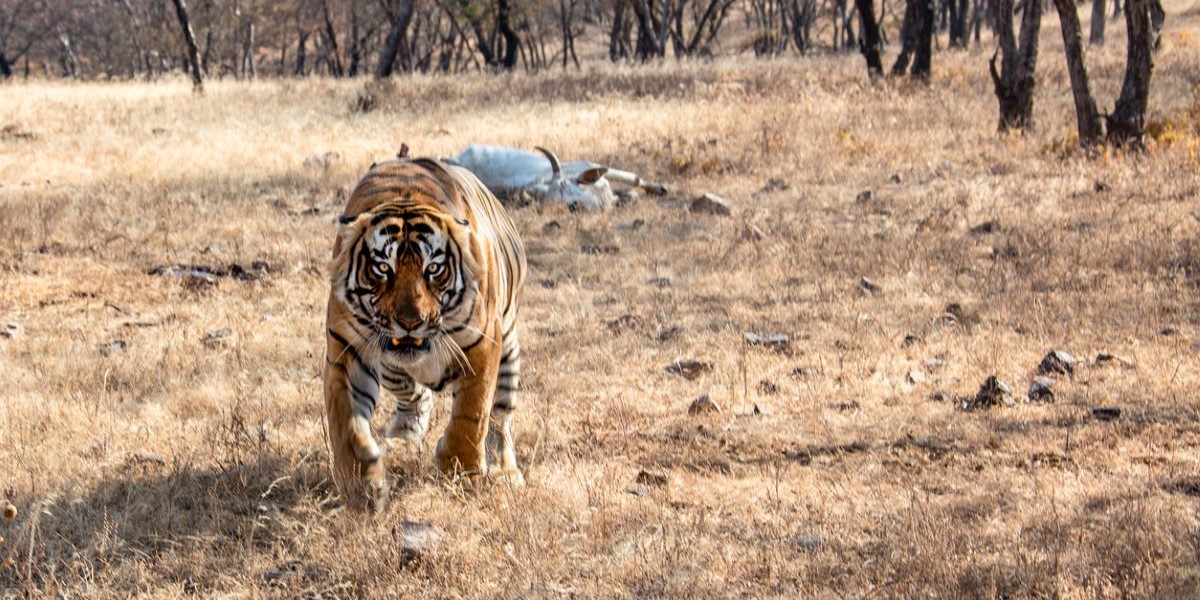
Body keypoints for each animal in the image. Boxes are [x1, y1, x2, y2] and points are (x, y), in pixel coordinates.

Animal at [324, 155, 526, 508]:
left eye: (433, 269)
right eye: (383, 268)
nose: (410, 322)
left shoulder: (483, 344)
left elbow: (472, 415)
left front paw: (462, 471)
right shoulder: (347, 350)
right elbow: (345, 421)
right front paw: (359, 481)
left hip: (509, 350)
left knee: (500, 416)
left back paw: (506, 471)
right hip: (390, 365)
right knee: (413, 392)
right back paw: (403, 435)